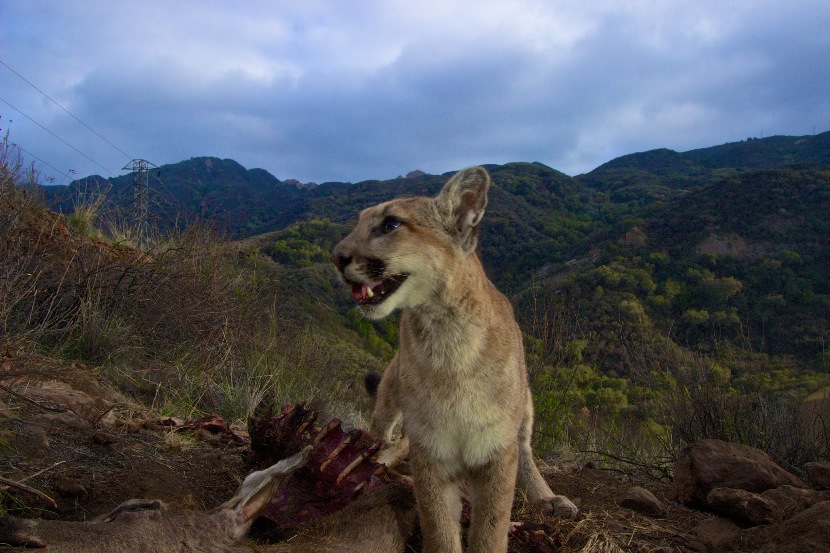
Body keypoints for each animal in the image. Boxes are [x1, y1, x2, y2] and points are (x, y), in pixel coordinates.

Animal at [332, 166, 580, 548]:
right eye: (359, 223)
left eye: (390, 224)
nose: (337, 257)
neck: (447, 338)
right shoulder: (431, 452)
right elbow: (439, 527)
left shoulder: (496, 451)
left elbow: (491, 529)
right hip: (389, 398)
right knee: (379, 437)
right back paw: (372, 461)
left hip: (525, 406)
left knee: (525, 452)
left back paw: (548, 498)